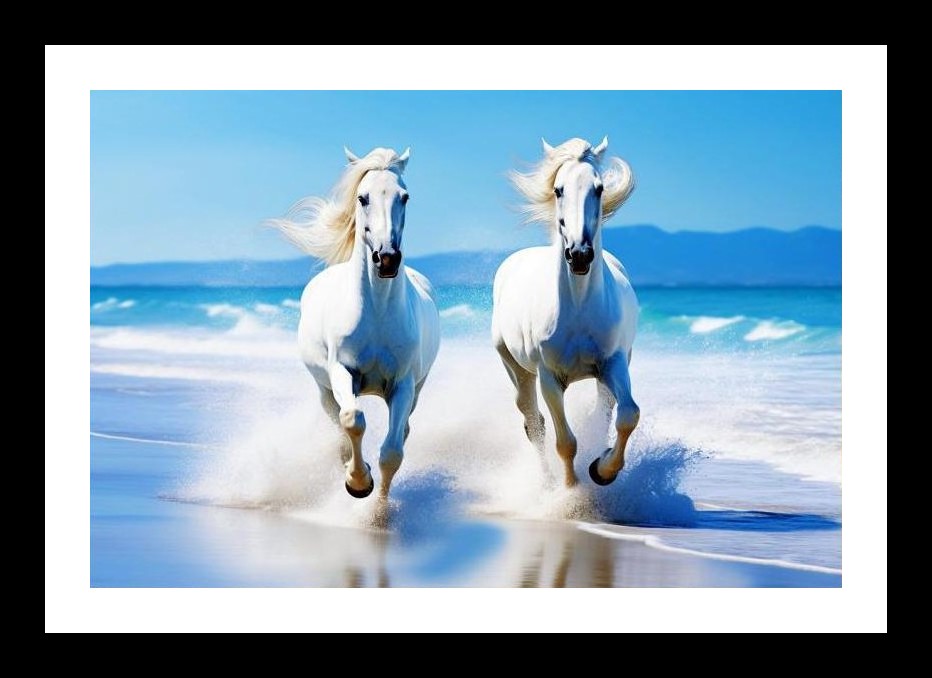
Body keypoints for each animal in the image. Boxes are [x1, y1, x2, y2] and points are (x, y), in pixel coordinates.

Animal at [270, 146, 440, 501]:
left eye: (405, 197)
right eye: (363, 198)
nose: (387, 259)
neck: (376, 312)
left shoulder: (404, 384)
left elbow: (392, 452)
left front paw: (378, 505)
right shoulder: (342, 372)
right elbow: (353, 419)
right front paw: (358, 482)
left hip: (417, 389)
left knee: (402, 431)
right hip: (323, 389)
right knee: (338, 424)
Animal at [491, 136, 639, 489]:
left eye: (599, 188)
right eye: (559, 189)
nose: (579, 254)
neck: (578, 307)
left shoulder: (613, 363)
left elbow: (628, 415)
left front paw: (602, 471)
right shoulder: (549, 377)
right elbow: (565, 442)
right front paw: (570, 493)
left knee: (604, 412)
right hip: (517, 369)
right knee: (533, 422)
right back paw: (546, 483)